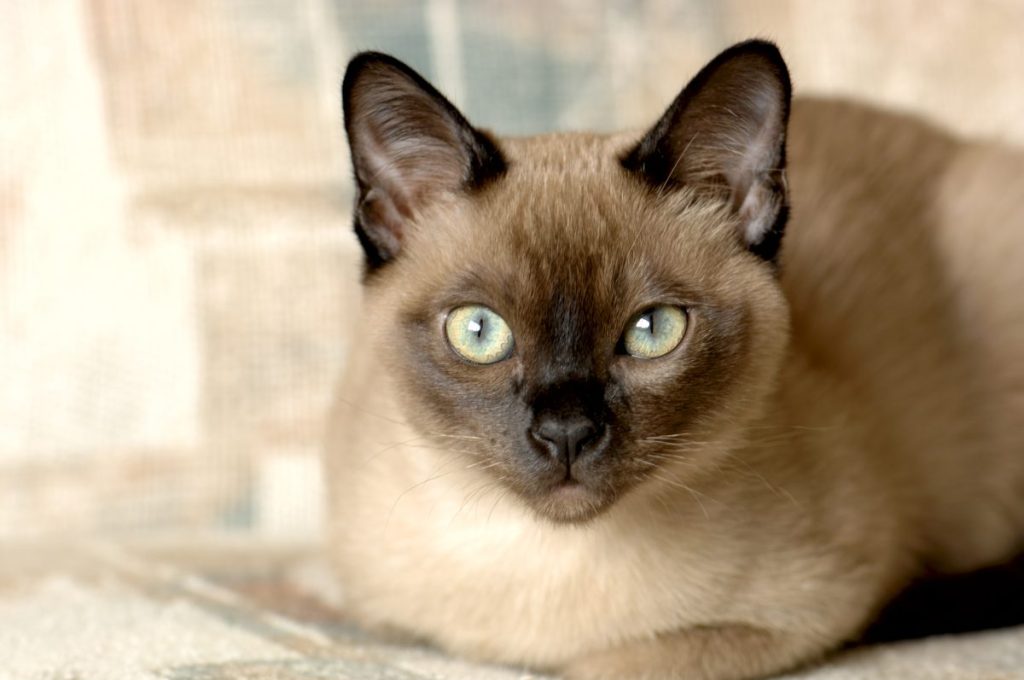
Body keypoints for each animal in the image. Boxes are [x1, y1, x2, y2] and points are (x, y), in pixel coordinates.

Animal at [323, 42, 1024, 680]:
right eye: (478, 332)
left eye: (653, 330)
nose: (566, 433)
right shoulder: (383, 618)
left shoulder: (808, 614)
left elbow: (604, 669)